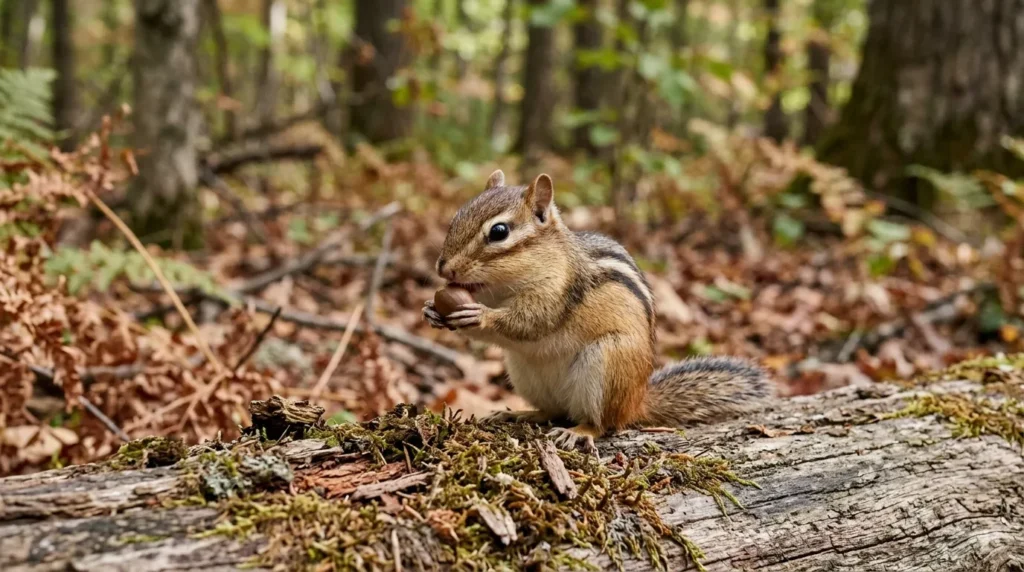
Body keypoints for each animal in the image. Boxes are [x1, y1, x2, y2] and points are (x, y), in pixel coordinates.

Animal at [423, 170, 771, 452]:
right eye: (457, 215)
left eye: (499, 232)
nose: (443, 268)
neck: (504, 287)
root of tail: (636, 402)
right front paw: (431, 311)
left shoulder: (557, 293)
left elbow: (530, 322)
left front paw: (479, 316)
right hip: (523, 372)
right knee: (552, 412)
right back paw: (521, 414)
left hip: (608, 363)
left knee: (603, 424)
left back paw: (579, 431)